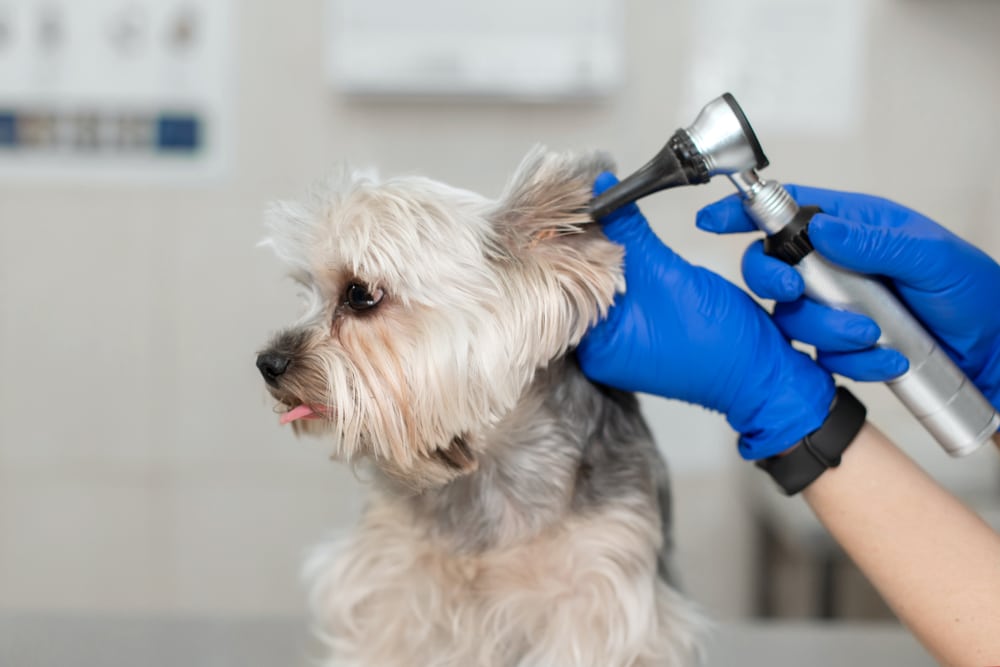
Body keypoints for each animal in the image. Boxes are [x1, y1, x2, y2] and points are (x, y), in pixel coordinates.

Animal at [256, 149, 704, 664]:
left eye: (359, 294)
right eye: (305, 290)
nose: (267, 363)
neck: (486, 469)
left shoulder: (596, 591)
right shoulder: (390, 579)